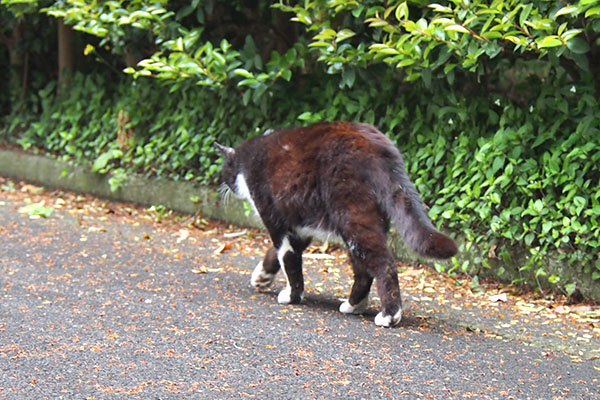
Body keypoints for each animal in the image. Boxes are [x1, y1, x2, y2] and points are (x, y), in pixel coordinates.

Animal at [213, 121, 458, 324]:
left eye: (225, 170)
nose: (223, 185)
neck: (249, 159)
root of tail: (380, 148)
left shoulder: (276, 220)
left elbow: (288, 259)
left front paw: (292, 295)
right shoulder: (299, 228)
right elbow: (277, 253)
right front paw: (262, 277)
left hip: (352, 215)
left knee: (383, 263)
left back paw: (389, 315)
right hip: (363, 223)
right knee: (363, 269)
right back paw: (354, 306)